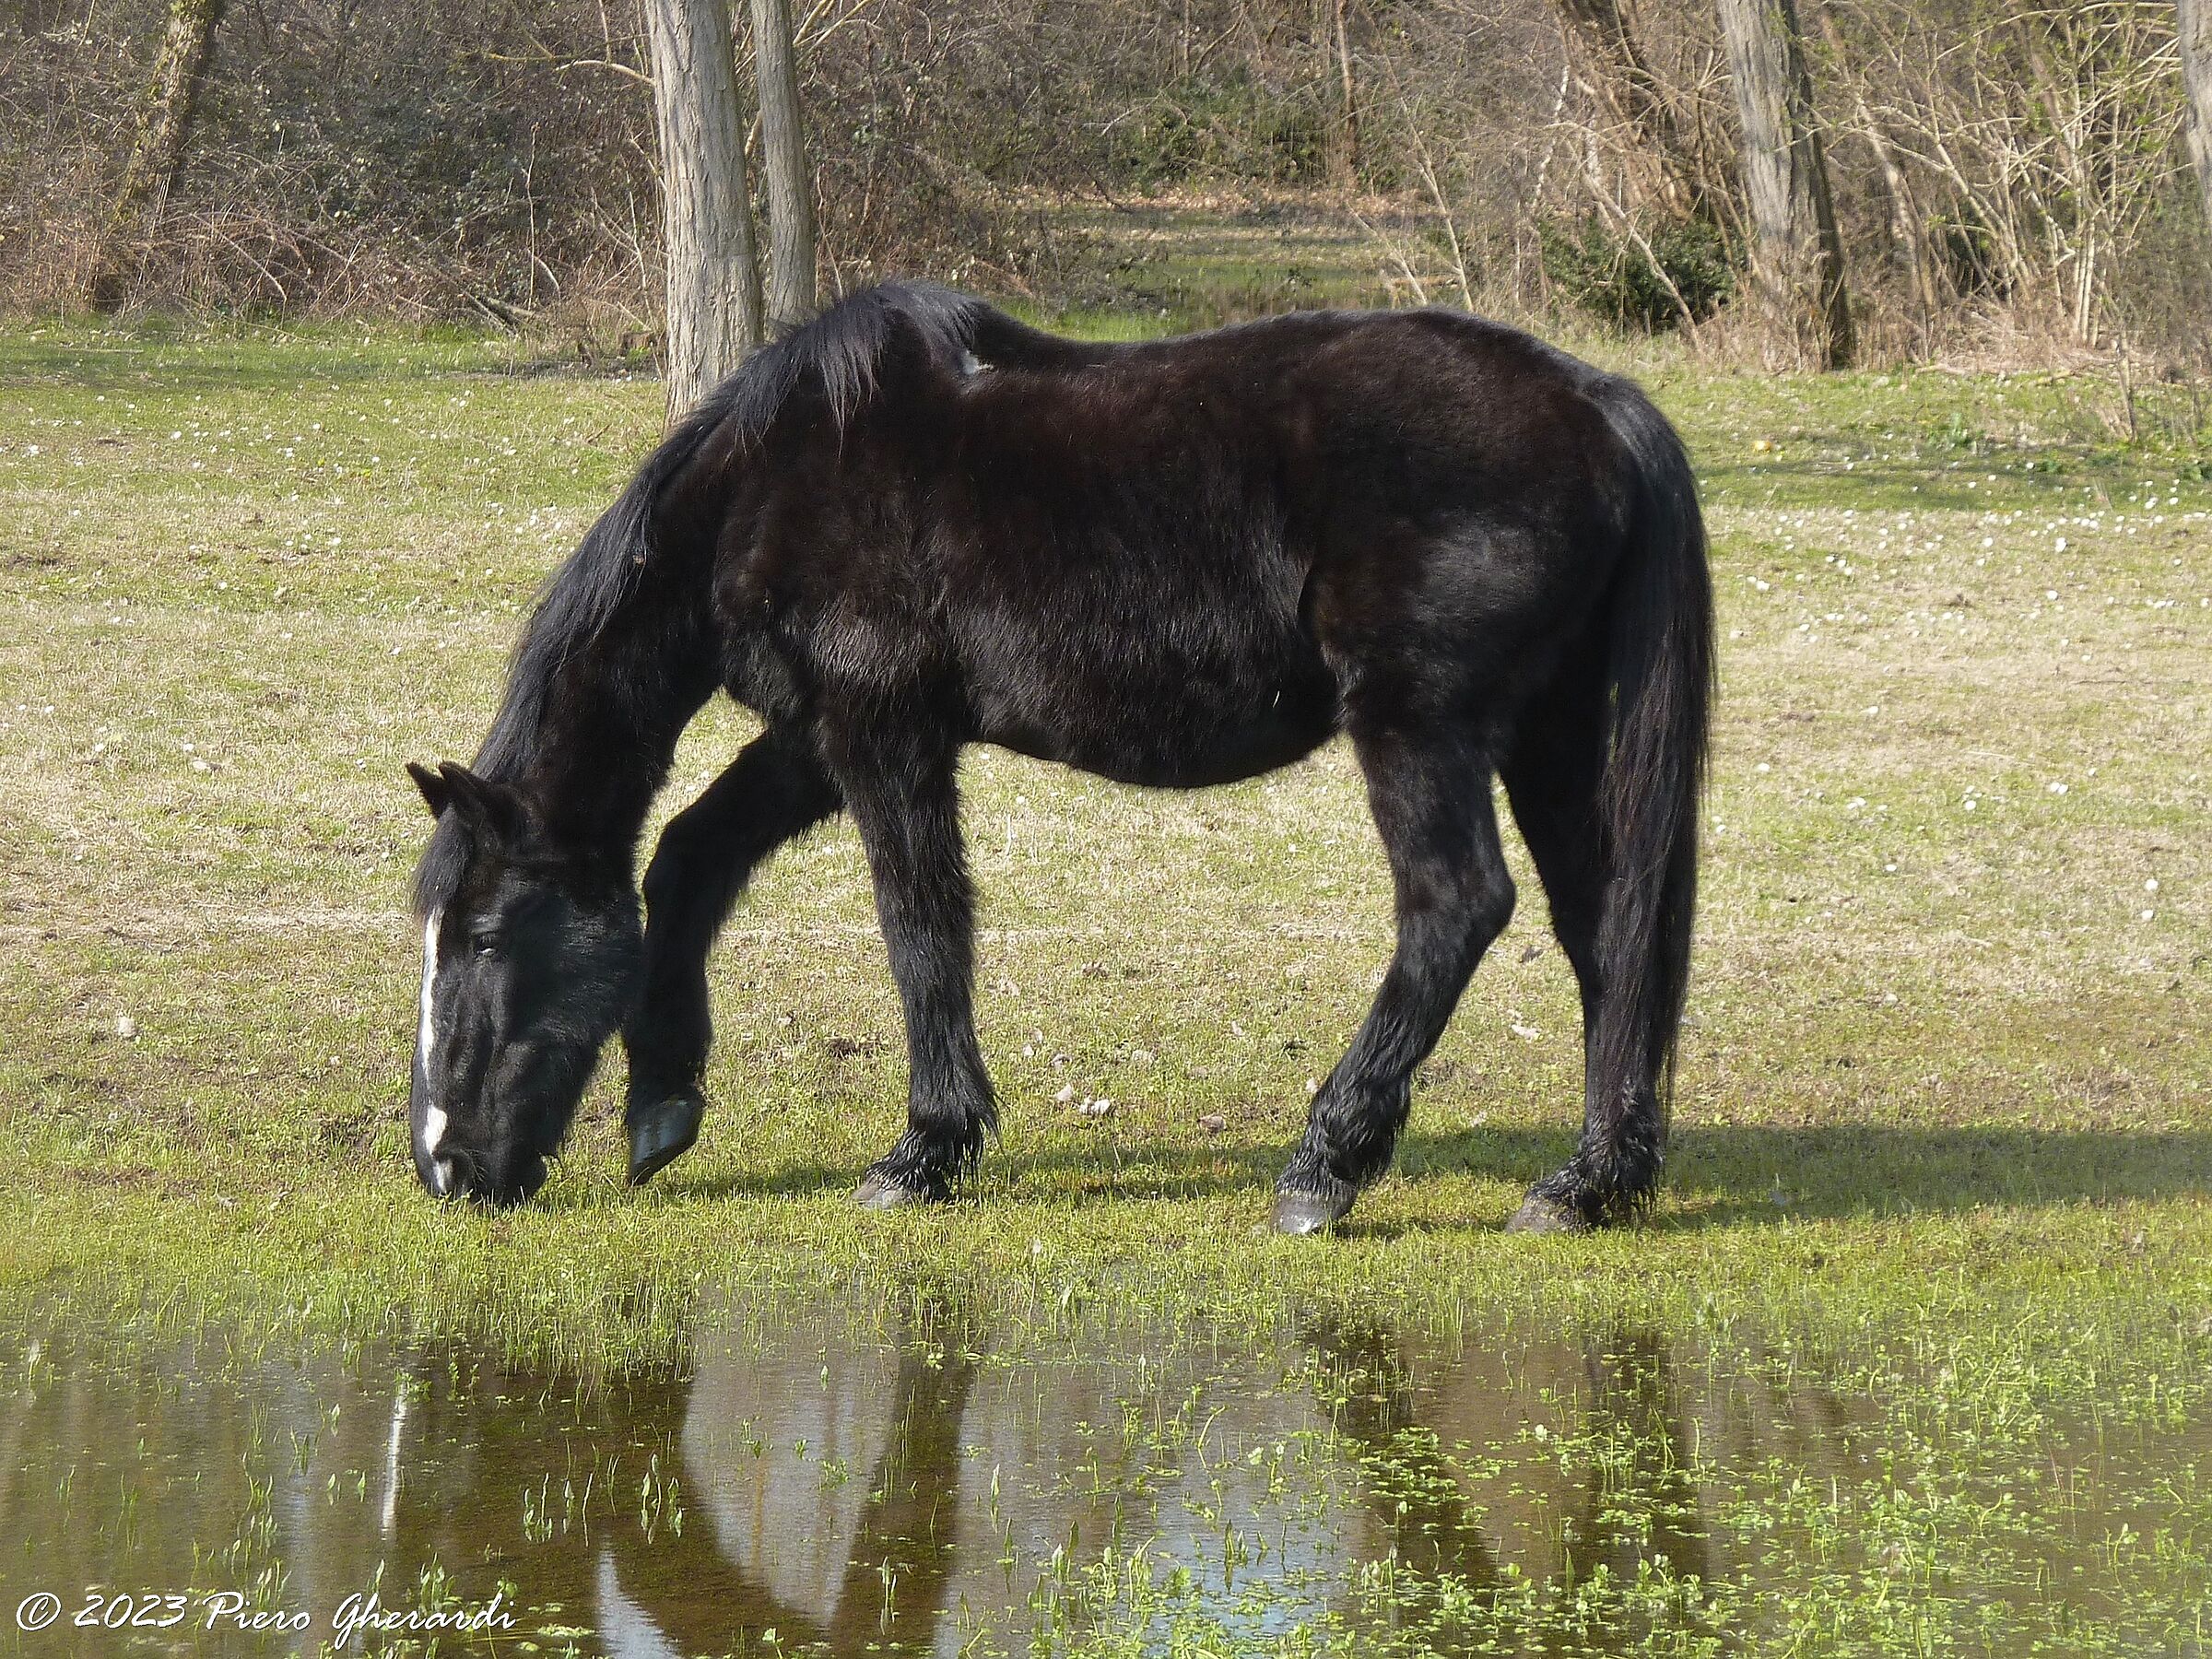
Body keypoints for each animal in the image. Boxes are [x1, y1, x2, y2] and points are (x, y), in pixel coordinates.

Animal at [405, 281, 1712, 1233]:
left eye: (482, 937)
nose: (446, 1169)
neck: (776, 483)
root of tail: (1596, 404)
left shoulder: (882, 735)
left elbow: (922, 929)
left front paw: (926, 1152)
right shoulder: (816, 738)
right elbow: (688, 856)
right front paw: (665, 1100)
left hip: (1419, 726)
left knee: (1456, 907)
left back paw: (1326, 1166)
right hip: (1551, 735)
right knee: (1609, 931)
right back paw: (1589, 1184)